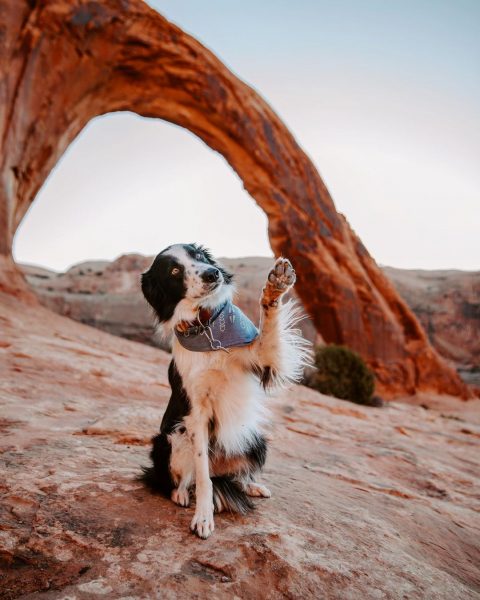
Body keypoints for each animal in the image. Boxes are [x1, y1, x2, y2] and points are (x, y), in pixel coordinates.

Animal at [141, 244, 310, 540]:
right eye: (174, 271)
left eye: (198, 256)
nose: (212, 273)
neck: (207, 327)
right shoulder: (196, 413)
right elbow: (202, 477)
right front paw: (203, 517)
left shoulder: (262, 357)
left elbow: (269, 328)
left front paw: (276, 286)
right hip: (171, 439)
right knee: (183, 479)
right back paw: (181, 494)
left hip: (255, 439)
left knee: (235, 475)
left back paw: (251, 485)